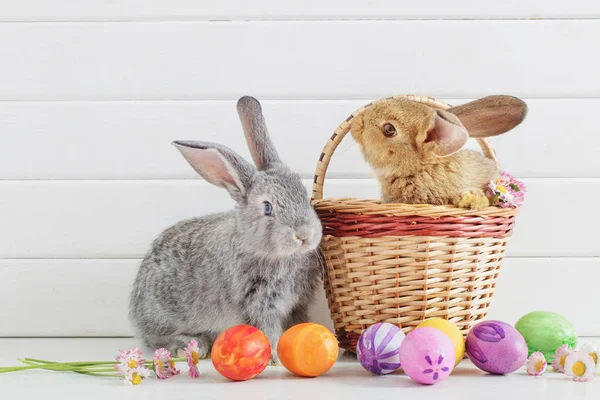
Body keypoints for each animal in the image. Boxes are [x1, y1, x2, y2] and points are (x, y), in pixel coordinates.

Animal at [128, 97, 322, 362]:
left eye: (304, 195)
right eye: (268, 208)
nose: (304, 235)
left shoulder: (298, 302)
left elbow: (300, 321)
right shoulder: (259, 302)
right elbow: (268, 329)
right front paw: (274, 355)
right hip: (162, 316)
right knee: (154, 338)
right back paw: (190, 345)